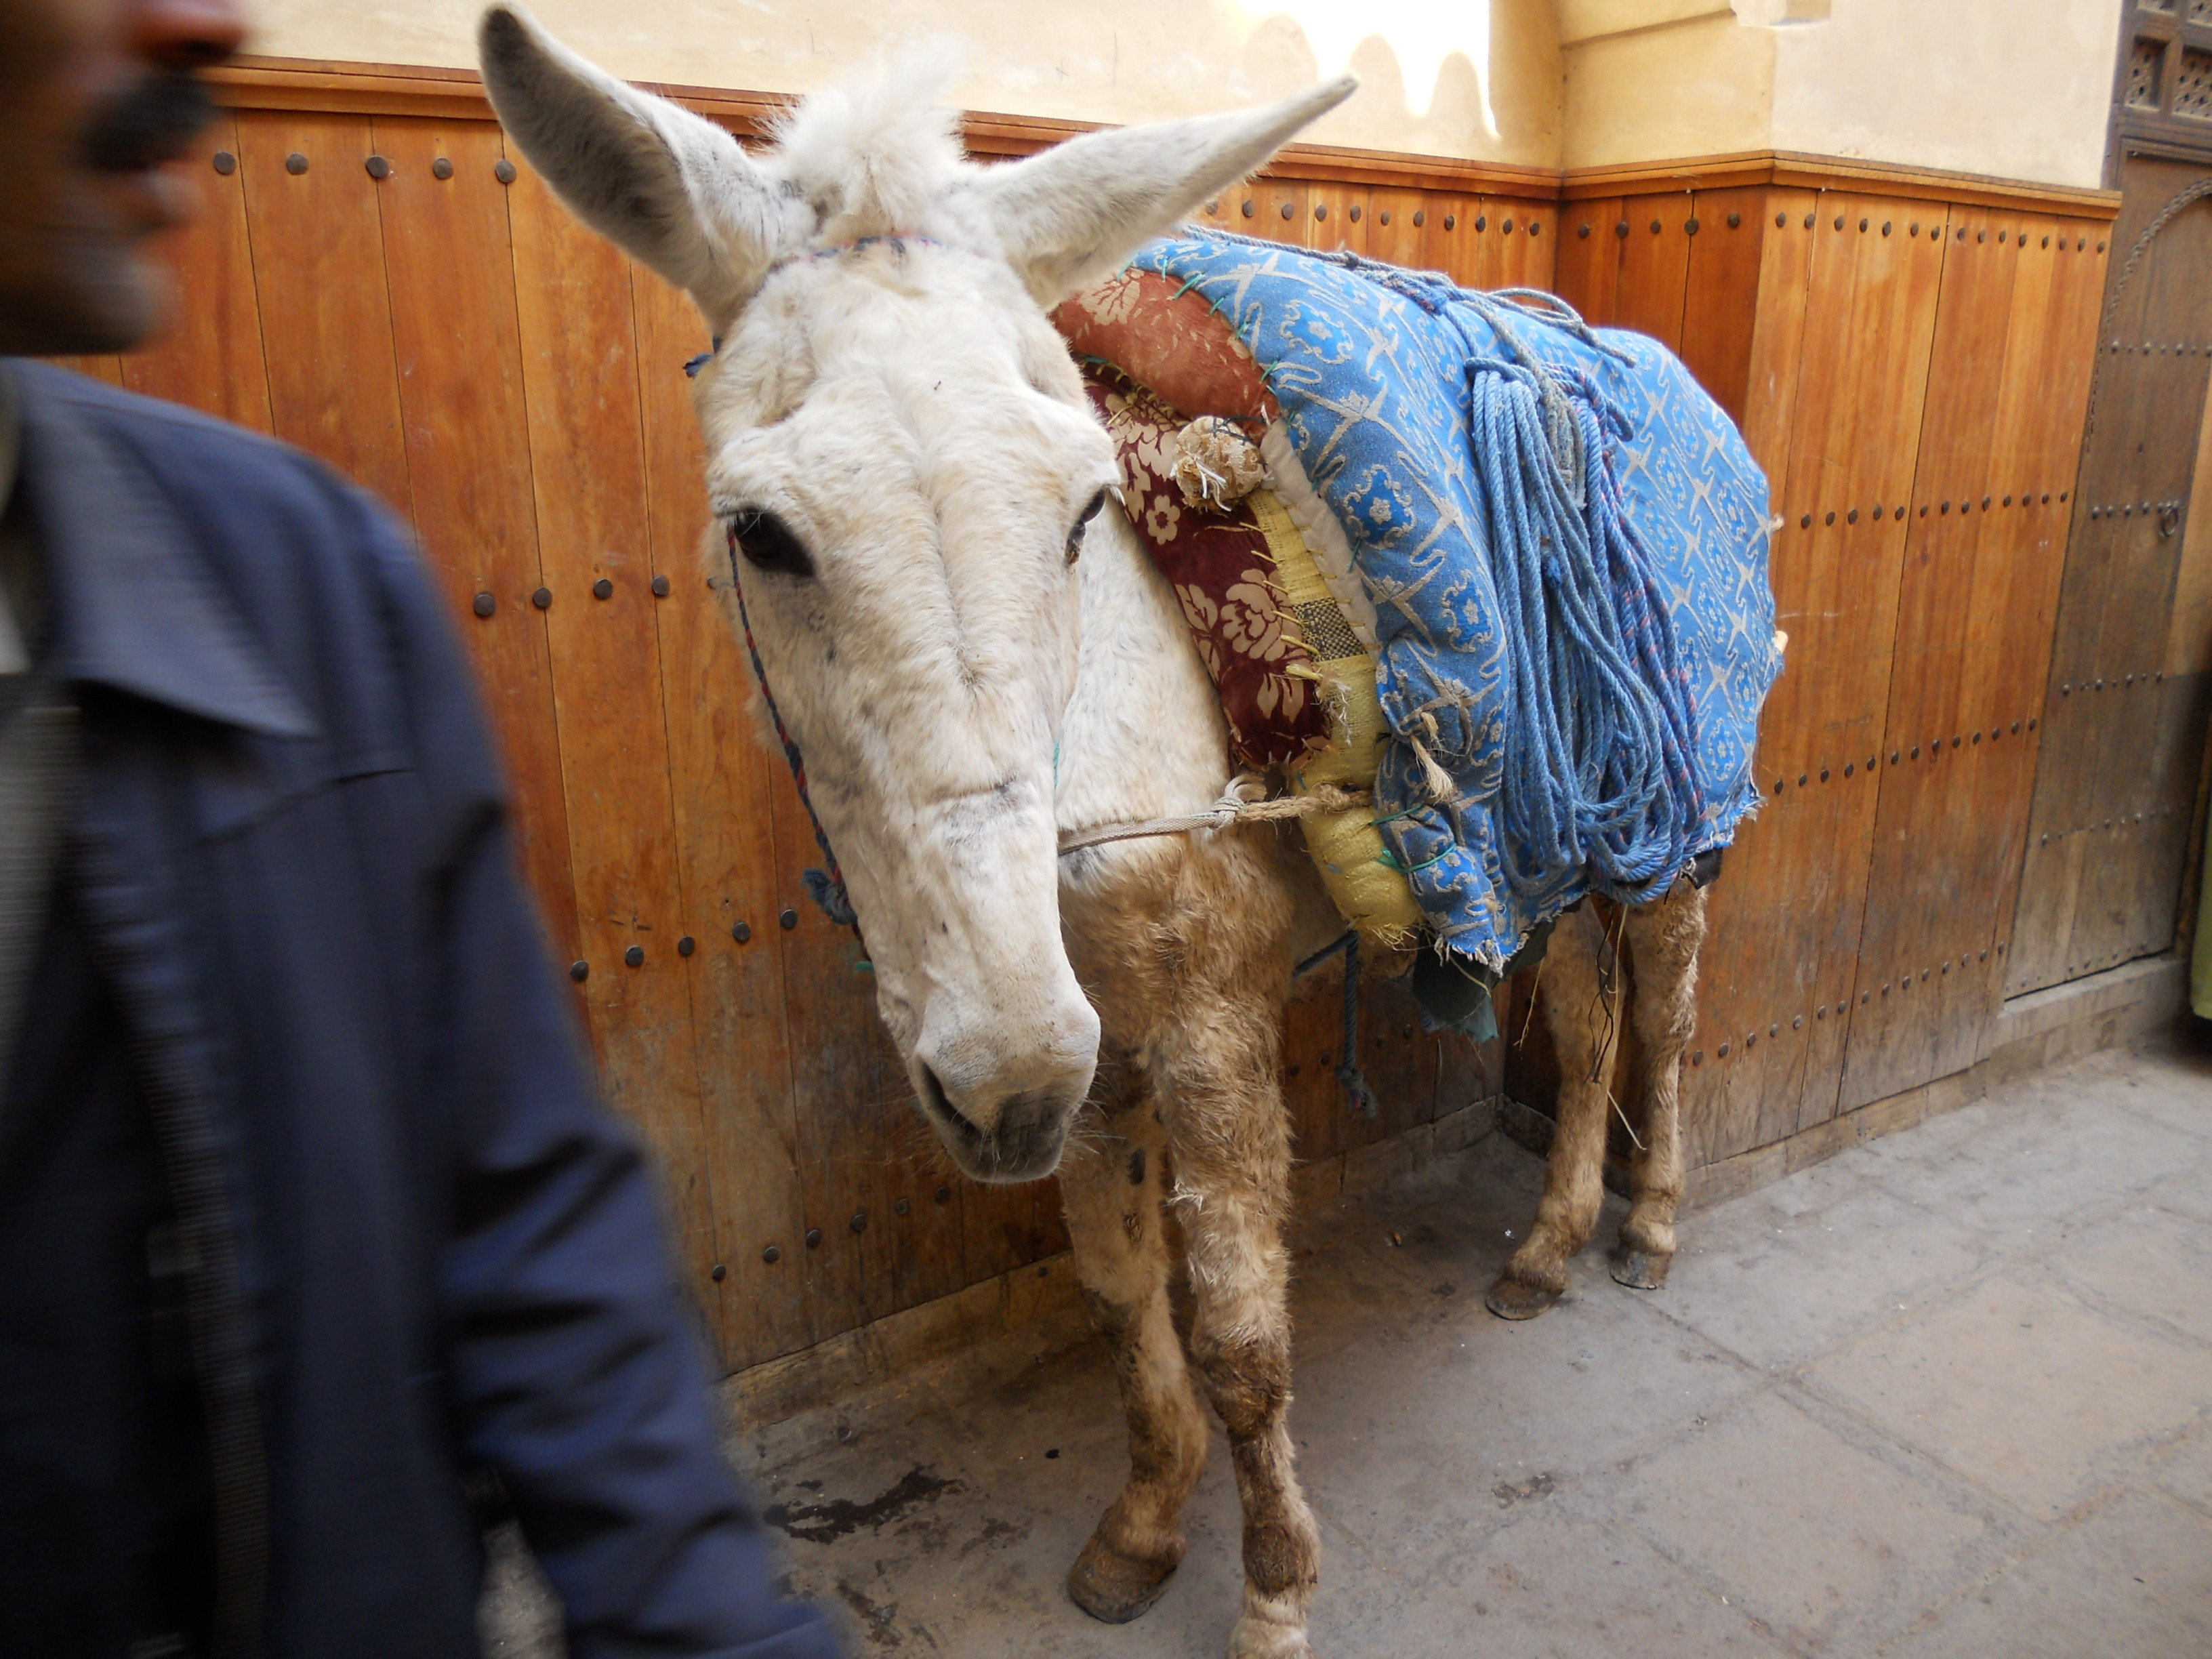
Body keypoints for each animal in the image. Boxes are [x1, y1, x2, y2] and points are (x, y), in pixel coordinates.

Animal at [478, 12, 1712, 1654]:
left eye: (1078, 512)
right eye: (761, 533)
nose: (1002, 1074)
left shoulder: (1202, 1022)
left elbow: (1241, 1329)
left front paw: (1273, 1594)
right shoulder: (1090, 1040)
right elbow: (1122, 1288)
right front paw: (1140, 1527)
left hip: (1678, 817)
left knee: (1665, 1014)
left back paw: (1650, 1227)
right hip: (1554, 843)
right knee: (1580, 1017)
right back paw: (1548, 1244)